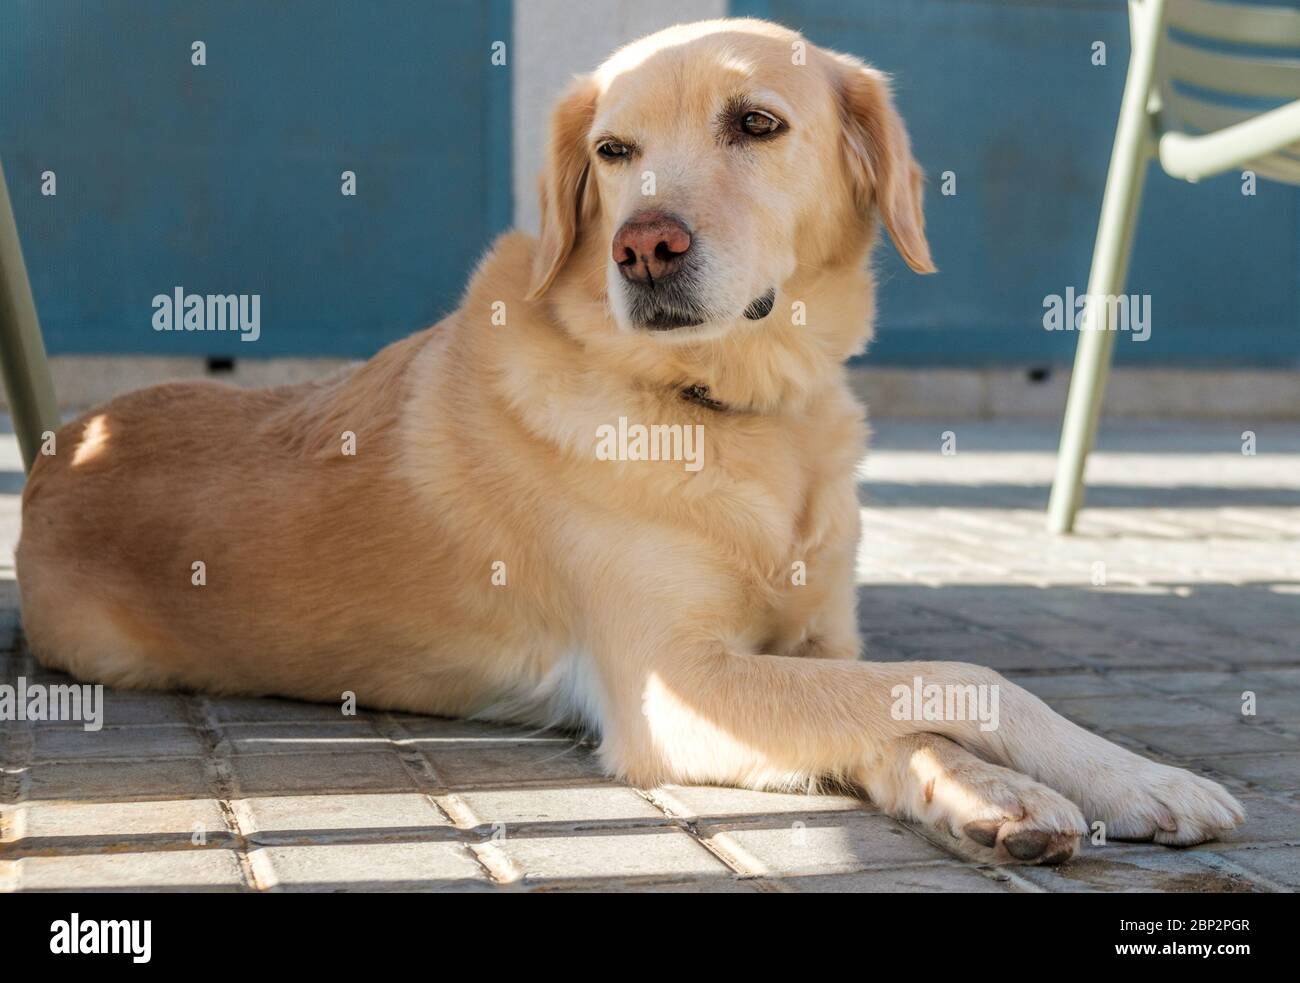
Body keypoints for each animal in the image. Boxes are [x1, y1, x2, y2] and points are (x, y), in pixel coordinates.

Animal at [15, 19, 1242, 863]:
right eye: (612, 150)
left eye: (757, 123)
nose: (644, 246)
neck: (731, 411)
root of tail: (61, 445)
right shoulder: (674, 684)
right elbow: (966, 677)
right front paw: (1136, 776)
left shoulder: (810, 652)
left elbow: (907, 712)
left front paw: (1001, 793)